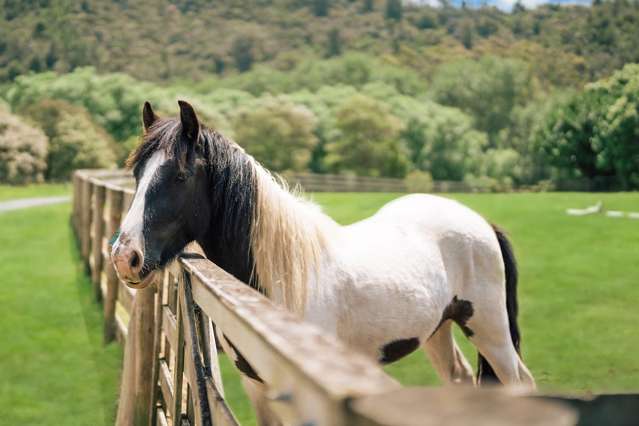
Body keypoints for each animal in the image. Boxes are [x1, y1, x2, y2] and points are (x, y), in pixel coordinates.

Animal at [112, 101, 536, 424]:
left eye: (180, 176)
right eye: (137, 173)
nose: (124, 257)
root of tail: (481, 222)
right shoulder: (258, 387)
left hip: (489, 330)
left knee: (520, 382)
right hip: (438, 329)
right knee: (460, 379)